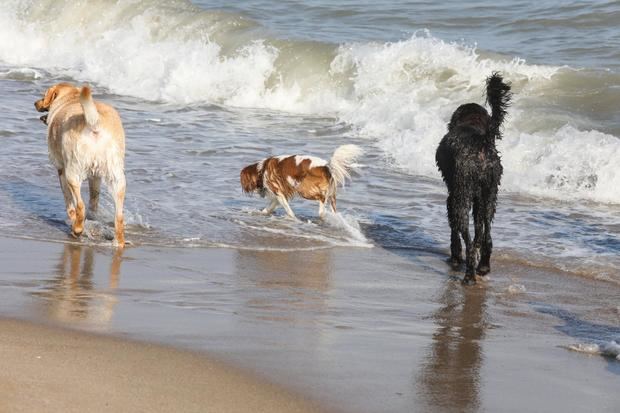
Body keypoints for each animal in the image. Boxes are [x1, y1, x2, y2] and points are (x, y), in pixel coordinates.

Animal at [34, 82, 126, 246]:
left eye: (44, 96)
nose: (35, 103)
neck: (71, 99)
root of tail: (95, 124)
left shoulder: (61, 170)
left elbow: (69, 203)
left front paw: (73, 220)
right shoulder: (95, 177)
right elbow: (94, 200)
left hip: (72, 172)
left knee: (80, 206)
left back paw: (77, 229)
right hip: (117, 177)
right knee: (119, 216)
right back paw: (119, 241)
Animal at [434, 72, 512, 284]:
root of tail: (482, 142)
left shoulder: (453, 196)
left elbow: (454, 230)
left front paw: (455, 256)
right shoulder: (479, 198)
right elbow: (480, 230)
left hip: (461, 196)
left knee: (467, 239)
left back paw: (469, 274)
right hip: (490, 195)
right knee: (485, 236)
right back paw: (483, 266)